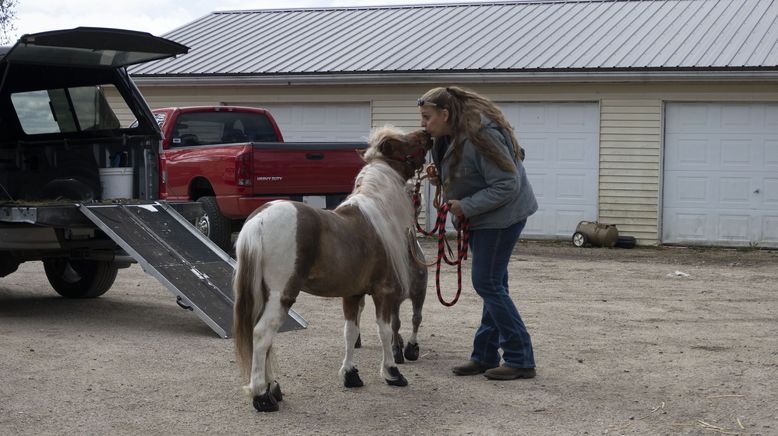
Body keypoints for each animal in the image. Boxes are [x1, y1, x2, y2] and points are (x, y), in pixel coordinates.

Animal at [230, 127, 430, 412]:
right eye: (402, 142)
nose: (427, 134)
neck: (378, 213)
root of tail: (258, 220)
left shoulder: (353, 295)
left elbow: (350, 333)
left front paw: (351, 375)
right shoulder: (384, 293)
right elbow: (385, 331)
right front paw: (392, 373)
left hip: (264, 294)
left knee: (265, 339)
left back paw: (273, 389)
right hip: (282, 296)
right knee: (262, 334)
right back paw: (261, 396)